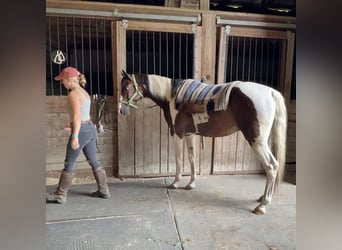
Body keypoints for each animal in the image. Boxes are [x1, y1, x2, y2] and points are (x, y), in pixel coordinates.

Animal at [119, 71, 288, 215]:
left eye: (126, 87)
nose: (121, 110)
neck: (171, 96)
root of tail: (270, 92)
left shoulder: (177, 134)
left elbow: (179, 159)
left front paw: (175, 183)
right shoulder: (189, 134)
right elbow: (191, 157)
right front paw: (191, 184)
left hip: (257, 141)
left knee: (271, 166)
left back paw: (262, 205)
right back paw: (263, 198)